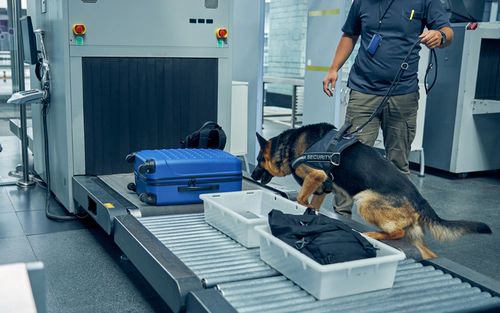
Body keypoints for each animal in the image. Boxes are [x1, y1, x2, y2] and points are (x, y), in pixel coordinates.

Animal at [254, 122, 492, 258]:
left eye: (258, 160)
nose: (254, 176)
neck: (287, 145)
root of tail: (421, 200)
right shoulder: (323, 186)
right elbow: (313, 202)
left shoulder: (316, 176)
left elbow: (303, 198)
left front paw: (302, 207)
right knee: (424, 250)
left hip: (365, 201)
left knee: (397, 232)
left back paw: (372, 234)